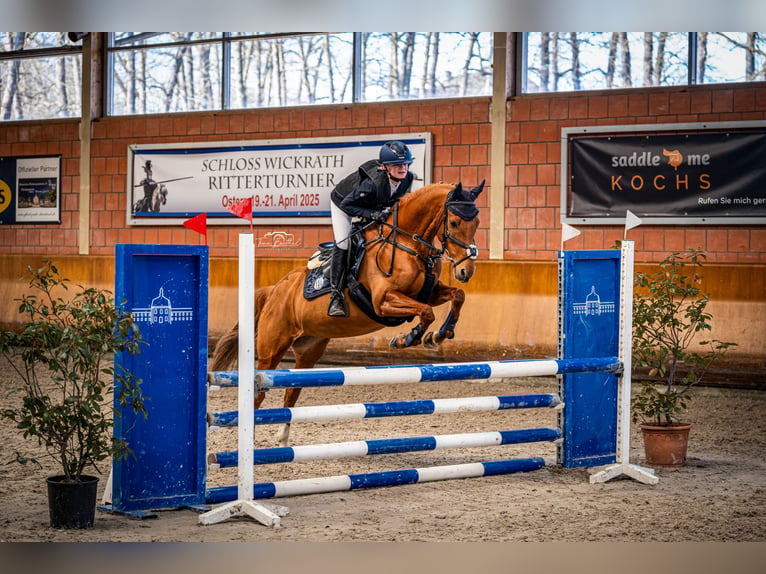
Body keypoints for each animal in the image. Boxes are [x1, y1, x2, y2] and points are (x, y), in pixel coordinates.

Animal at [210, 180, 484, 445]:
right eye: (454, 222)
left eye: (477, 222)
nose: (466, 271)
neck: (406, 243)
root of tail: (275, 290)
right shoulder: (383, 301)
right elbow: (426, 312)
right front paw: (407, 338)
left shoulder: (427, 292)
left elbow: (457, 296)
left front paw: (437, 336)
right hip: (272, 348)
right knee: (258, 392)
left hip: (308, 350)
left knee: (291, 391)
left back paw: (283, 436)